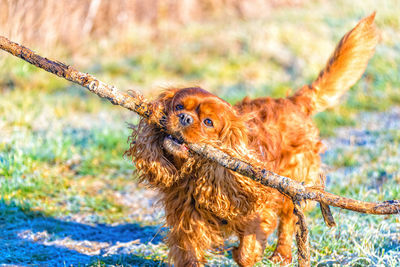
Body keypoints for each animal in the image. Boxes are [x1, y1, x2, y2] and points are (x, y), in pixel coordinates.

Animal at [126, 13, 380, 266]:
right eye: (178, 106)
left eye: (208, 122)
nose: (185, 118)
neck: (199, 173)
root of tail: (294, 101)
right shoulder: (186, 223)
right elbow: (191, 256)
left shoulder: (258, 212)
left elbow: (247, 252)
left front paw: (239, 253)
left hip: (292, 183)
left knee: (289, 221)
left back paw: (282, 255)